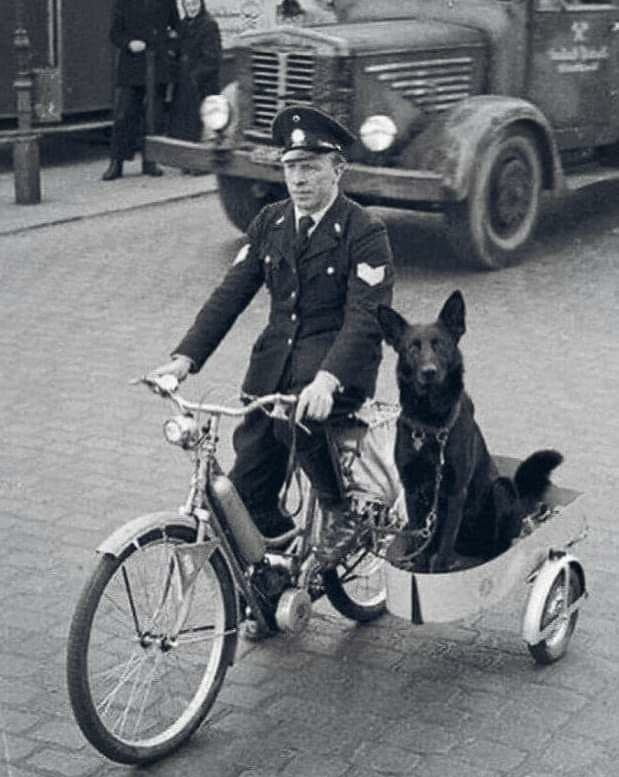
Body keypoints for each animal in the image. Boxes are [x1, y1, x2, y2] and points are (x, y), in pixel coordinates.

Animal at [377, 290, 563, 573]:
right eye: (412, 347)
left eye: (441, 345)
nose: (429, 372)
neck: (432, 424)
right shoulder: (412, 490)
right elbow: (421, 544)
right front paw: (418, 567)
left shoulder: (456, 492)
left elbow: (442, 551)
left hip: (501, 489)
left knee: (498, 547)